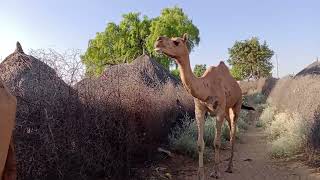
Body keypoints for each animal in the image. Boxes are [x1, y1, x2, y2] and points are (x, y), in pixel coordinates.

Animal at [154, 33, 254, 179]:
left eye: (176, 42)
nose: (158, 41)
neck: (206, 87)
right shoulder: (199, 111)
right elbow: (200, 144)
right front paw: (200, 174)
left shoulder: (219, 111)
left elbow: (216, 143)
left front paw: (216, 172)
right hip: (226, 111)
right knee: (231, 130)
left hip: (236, 105)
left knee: (233, 134)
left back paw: (230, 167)